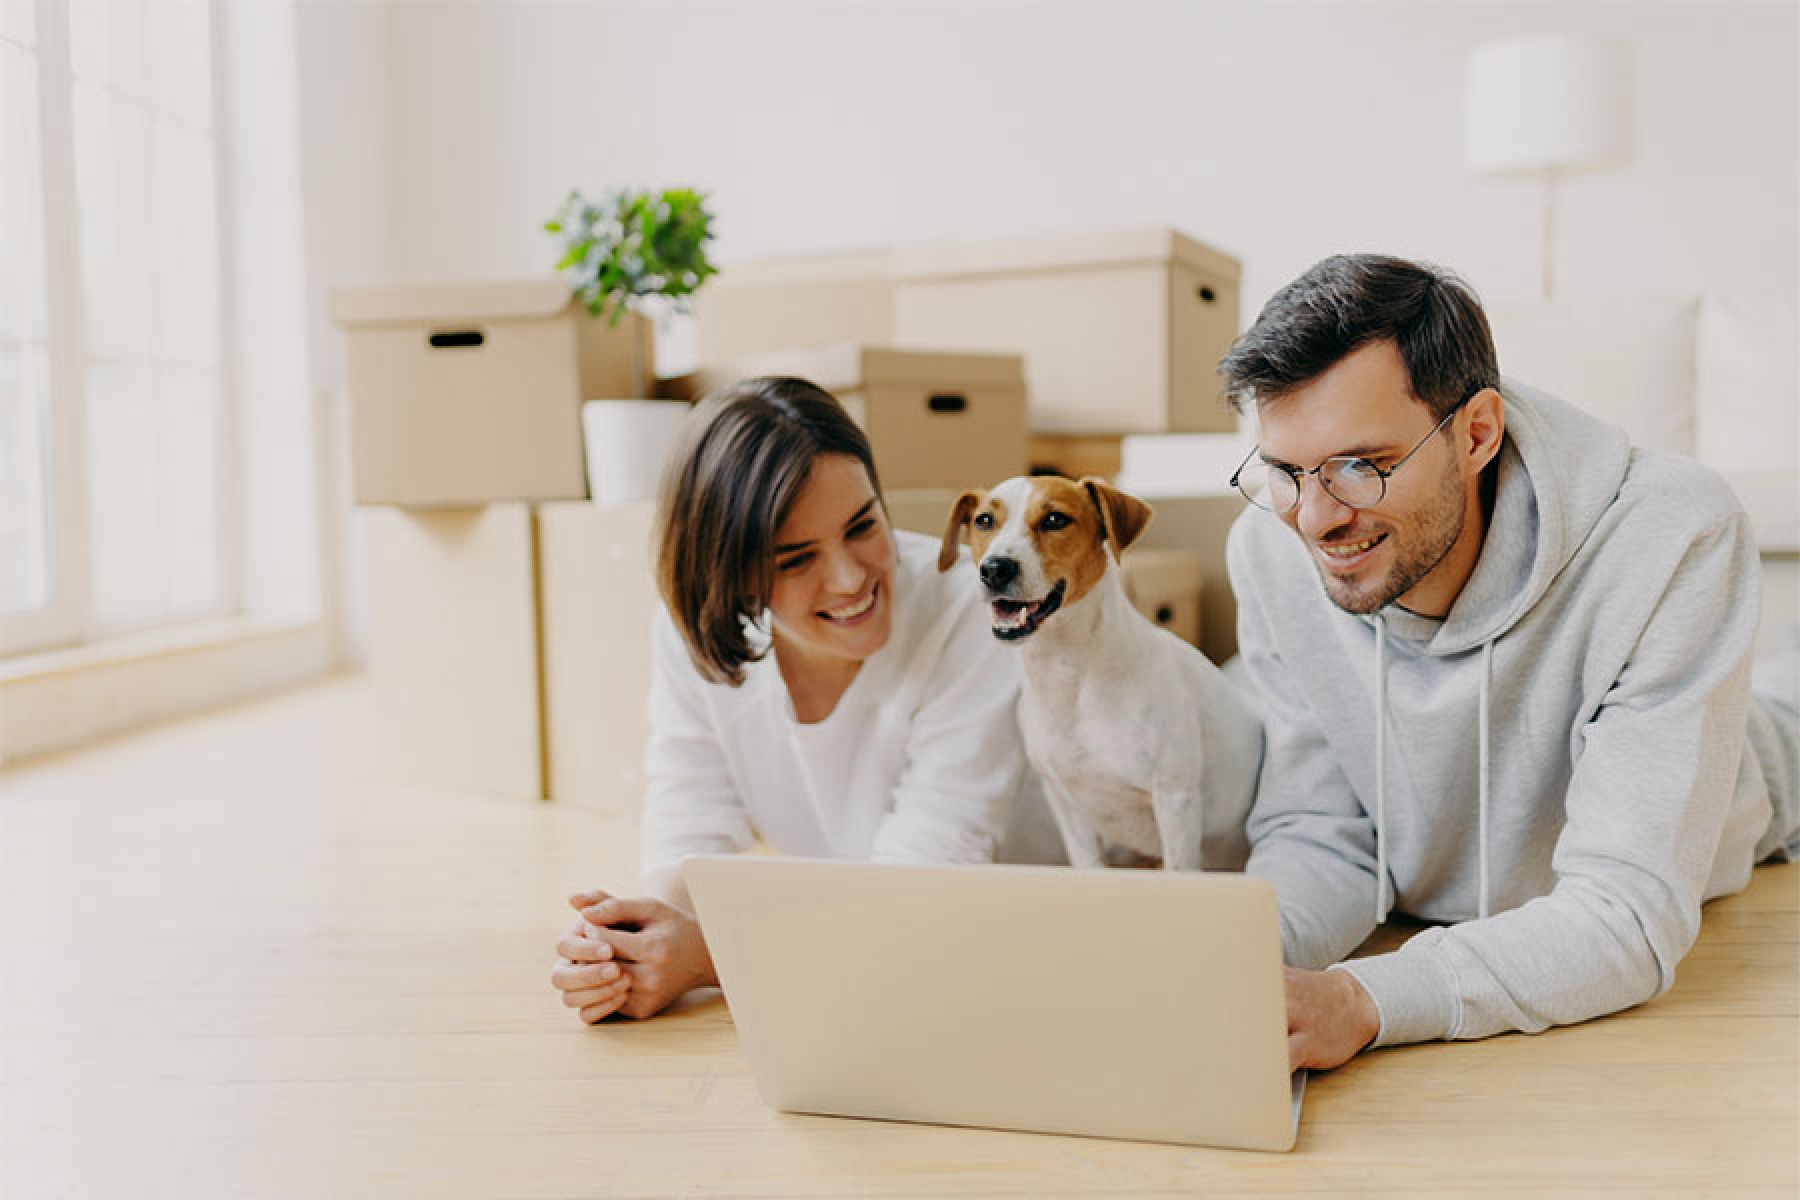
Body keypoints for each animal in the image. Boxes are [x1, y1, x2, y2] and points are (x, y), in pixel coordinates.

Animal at [936, 471, 1260, 874]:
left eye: (1055, 519)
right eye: (983, 521)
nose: (995, 569)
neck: (1072, 676)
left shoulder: (1176, 801)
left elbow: (1180, 867)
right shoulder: (1067, 805)